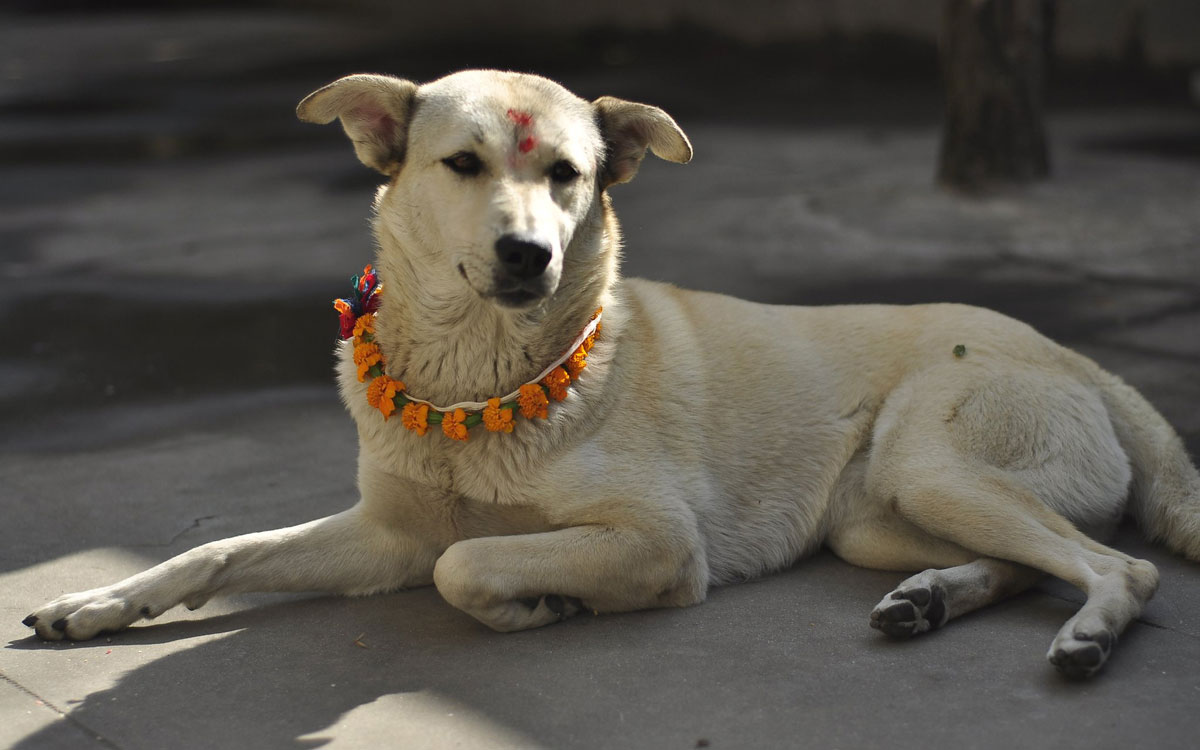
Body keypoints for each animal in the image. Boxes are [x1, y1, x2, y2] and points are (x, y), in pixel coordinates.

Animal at [28, 70, 1200, 676]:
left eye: (568, 174)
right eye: (463, 164)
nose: (527, 255)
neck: (476, 383)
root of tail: (1079, 356)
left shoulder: (655, 540)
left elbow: (467, 566)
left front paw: (540, 603)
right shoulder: (386, 532)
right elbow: (220, 551)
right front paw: (100, 603)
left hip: (931, 461)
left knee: (1120, 569)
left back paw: (1088, 634)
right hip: (880, 517)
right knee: (1029, 562)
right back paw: (930, 600)